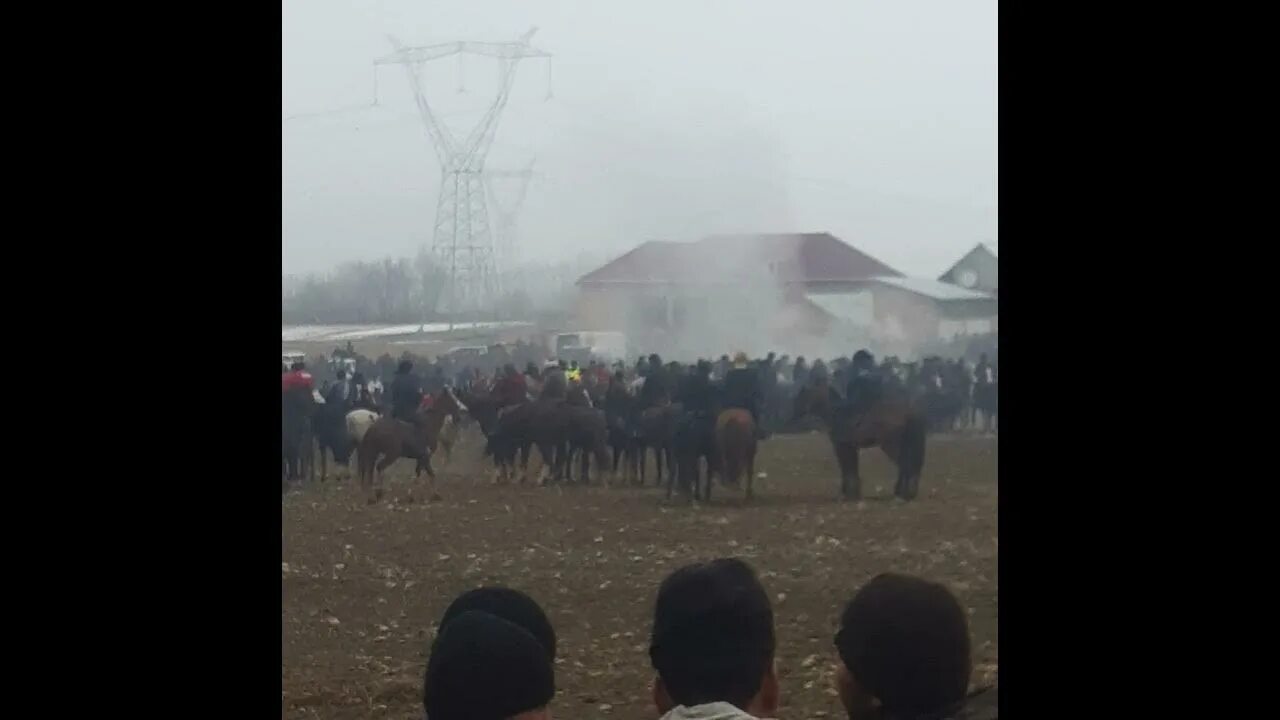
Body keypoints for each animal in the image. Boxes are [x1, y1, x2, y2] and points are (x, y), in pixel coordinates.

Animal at [793, 381, 926, 499]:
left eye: (802, 396)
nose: (794, 412)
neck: (836, 413)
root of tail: (909, 411)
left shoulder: (842, 446)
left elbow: (847, 469)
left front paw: (848, 494)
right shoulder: (850, 448)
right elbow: (851, 468)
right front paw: (853, 493)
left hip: (891, 445)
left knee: (905, 464)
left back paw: (904, 493)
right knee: (906, 465)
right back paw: (903, 492)